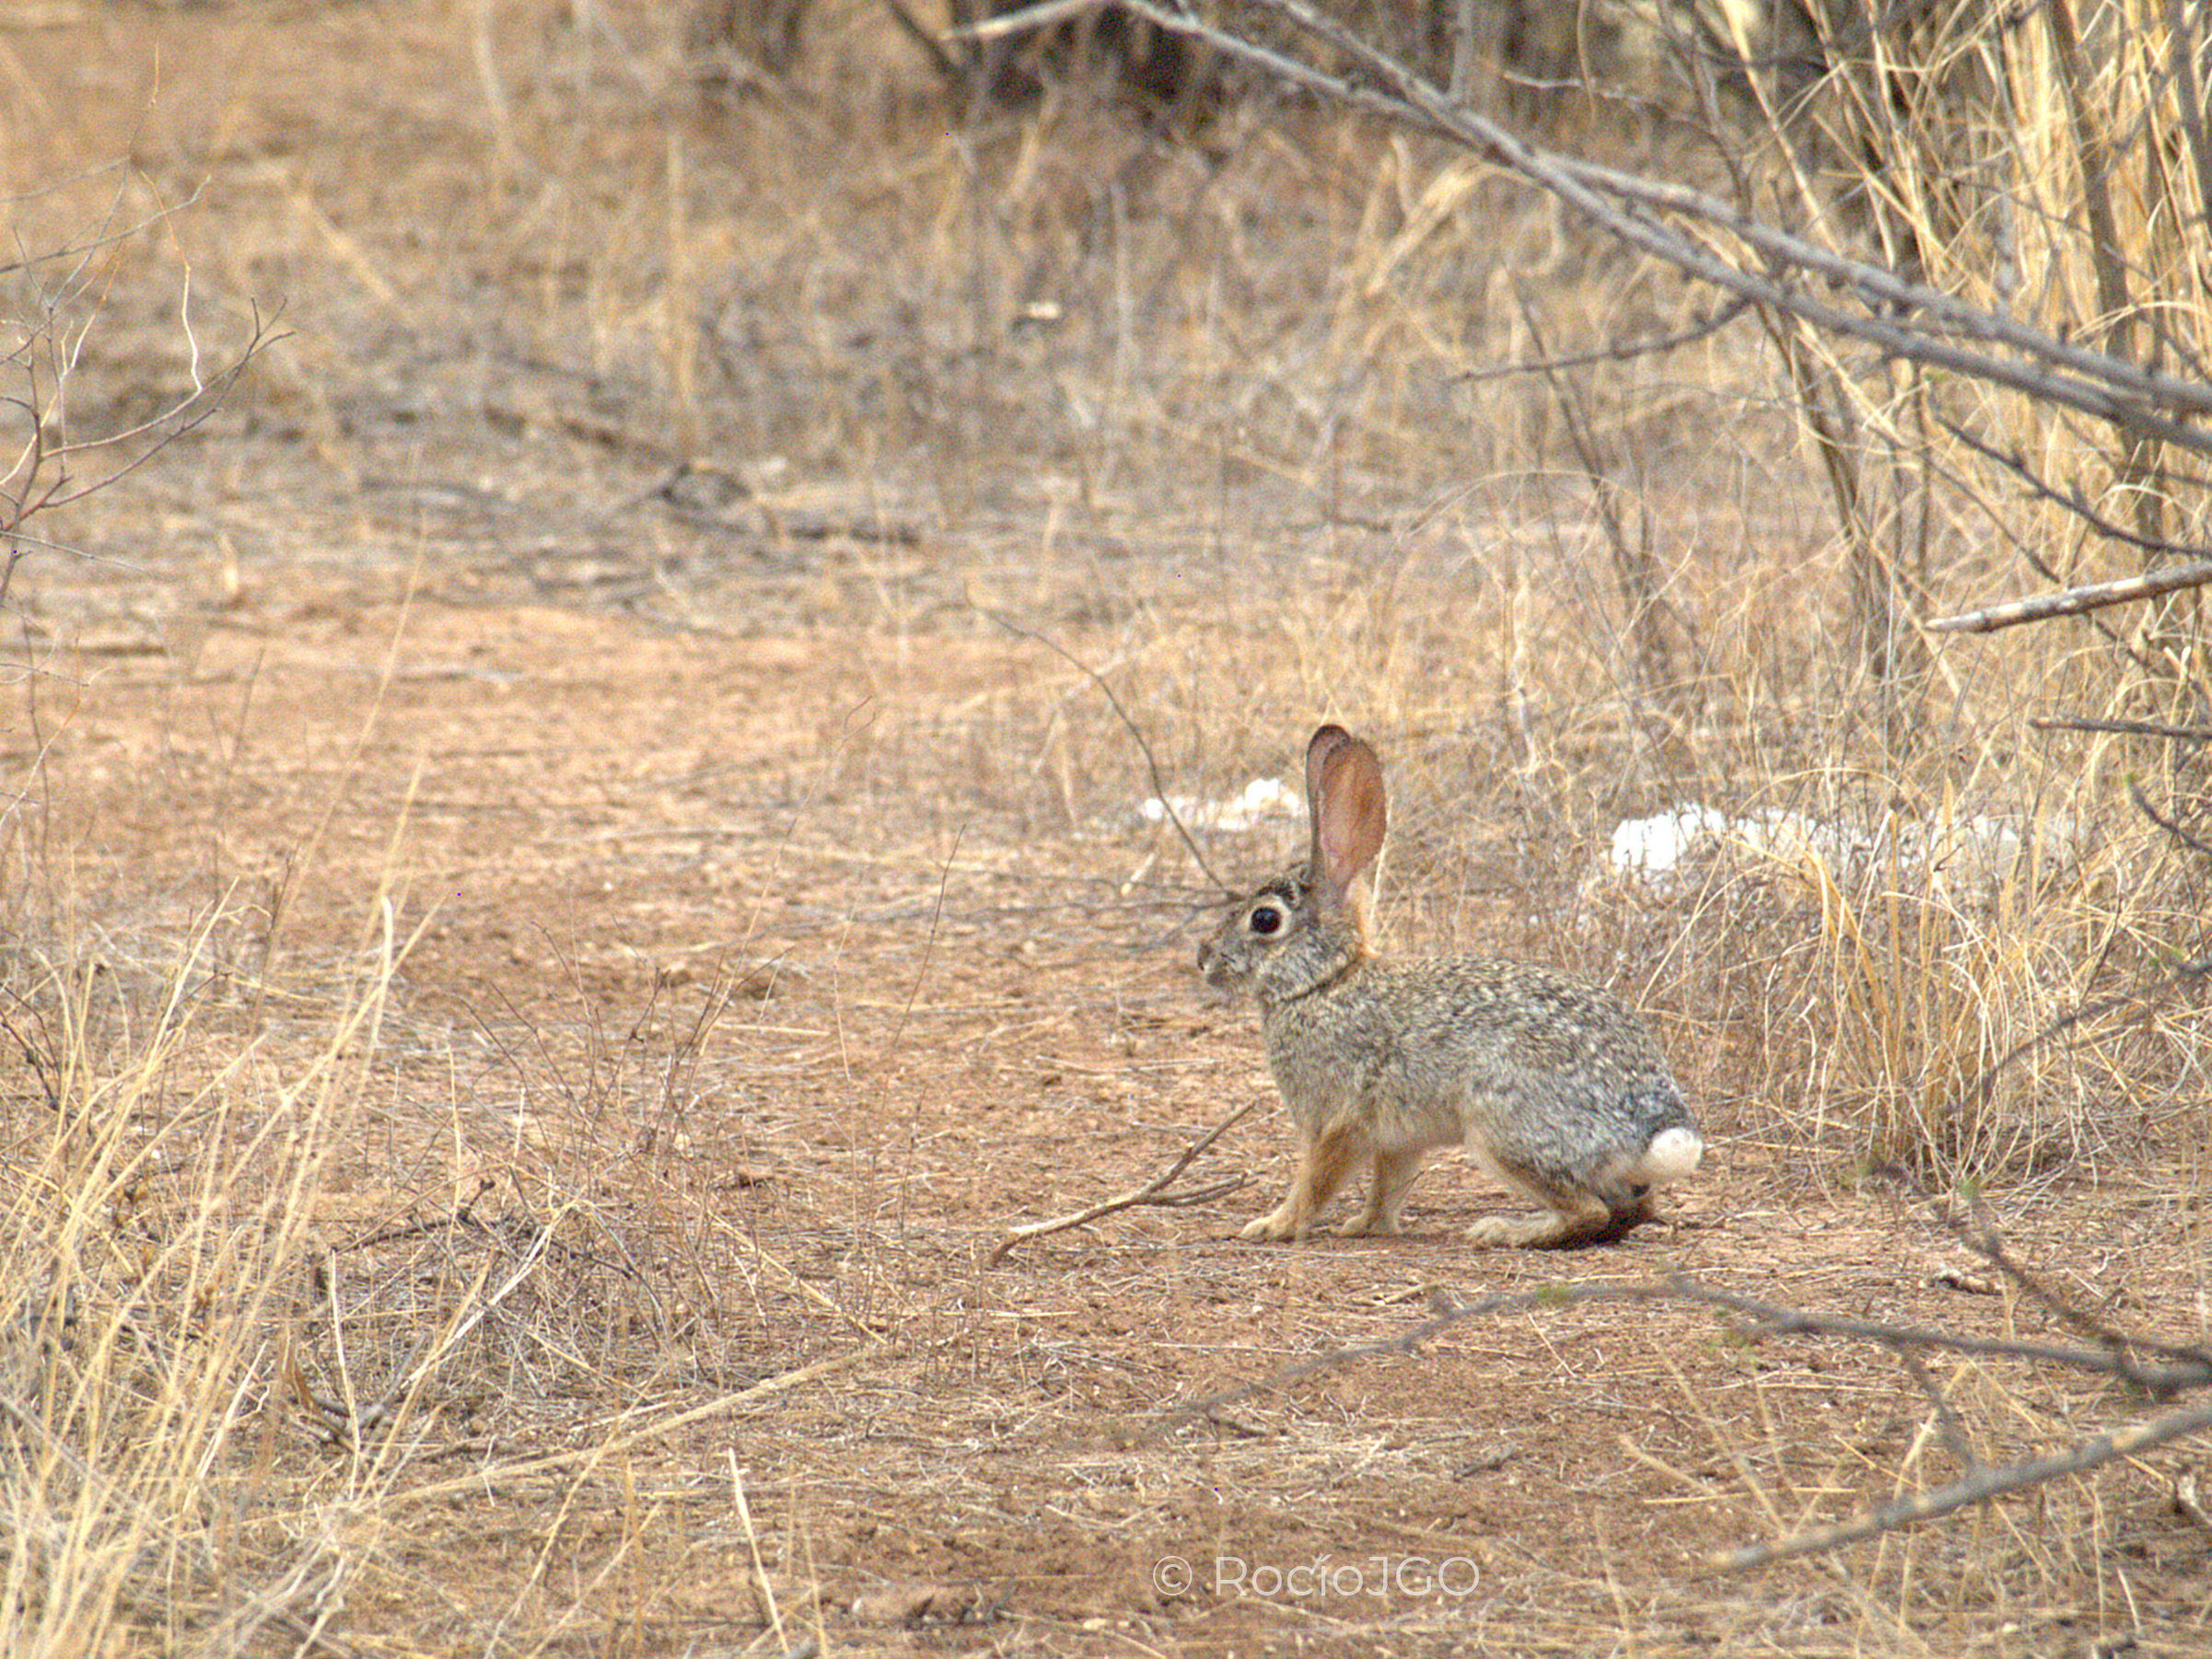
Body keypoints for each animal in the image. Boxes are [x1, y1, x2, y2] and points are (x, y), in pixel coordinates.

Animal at [1203, 725, 1698, 1247]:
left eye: (1265, 920)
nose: (1204, 959)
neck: (1324, 981)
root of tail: (1651, 1133)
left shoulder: (1337, 1122)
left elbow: (1316, 1181)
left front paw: (1273, 1226)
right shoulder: (1397, 1139)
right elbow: (1388, 1184)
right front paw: (1366, 1226)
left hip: (1499, 1130)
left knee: (1587, 1211)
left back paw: (1502, 1231)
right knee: (1632, 1210)